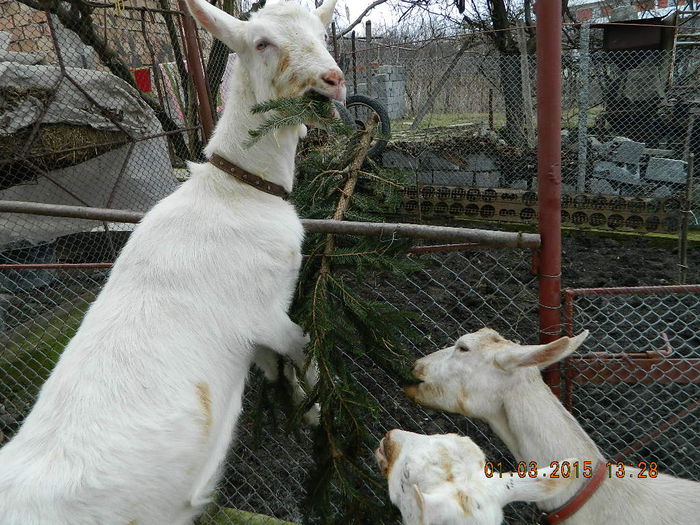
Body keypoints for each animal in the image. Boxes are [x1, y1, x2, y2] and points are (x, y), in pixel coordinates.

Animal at [0, 1, 344, 524]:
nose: (332, 80)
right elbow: (306, 352)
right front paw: (318, 414)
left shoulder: (259, 338)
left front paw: (302, 409)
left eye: (321, 33)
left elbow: (275, 367)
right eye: (261, 42)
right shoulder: (266, 314)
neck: (236, 192)